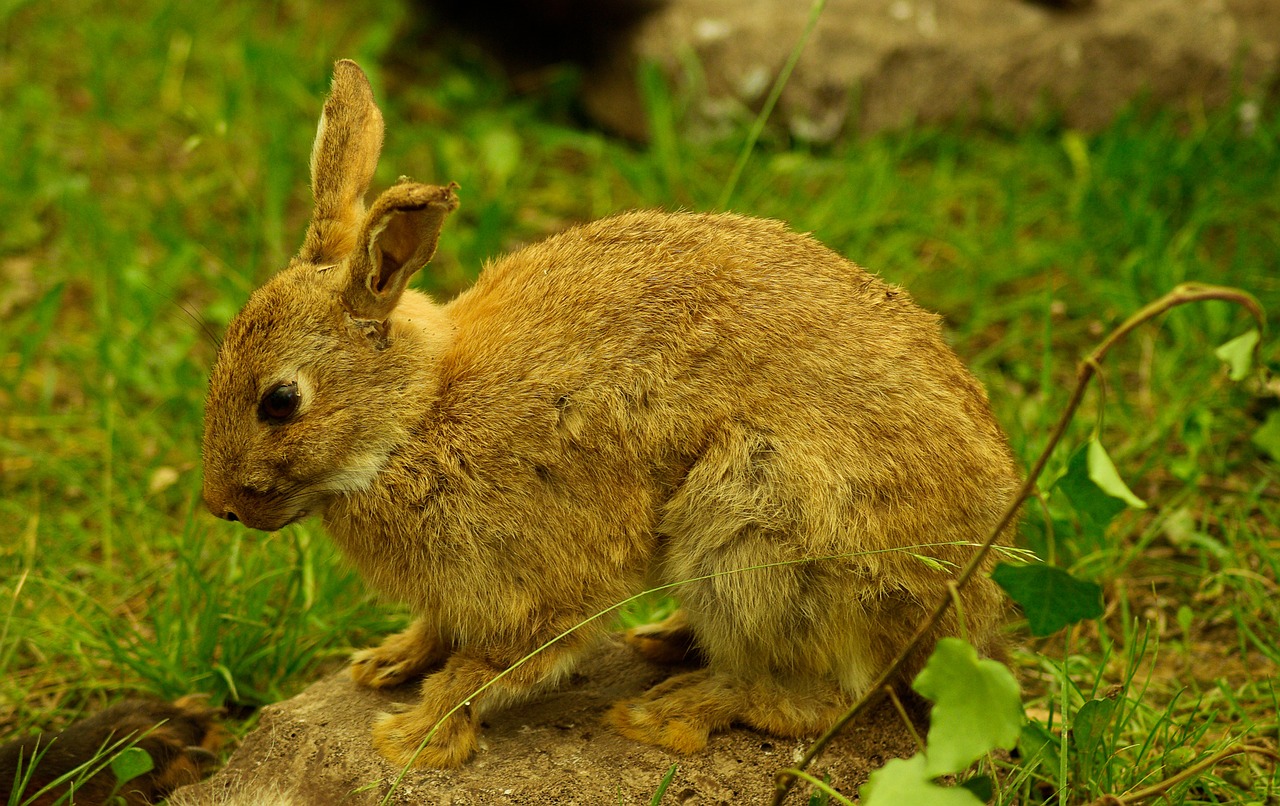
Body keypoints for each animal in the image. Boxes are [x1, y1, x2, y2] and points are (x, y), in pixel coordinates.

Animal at [199, 58, 1018, 772]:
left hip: (760, 522)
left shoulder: (545, 582)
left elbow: (491, 666)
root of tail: (963, 596)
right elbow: (441, 629)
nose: (219, 507)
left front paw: (413, 738)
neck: (417, 415)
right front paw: (385, 662)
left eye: (280, 401)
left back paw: (666, 711)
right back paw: (665, 644)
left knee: (812, 694)